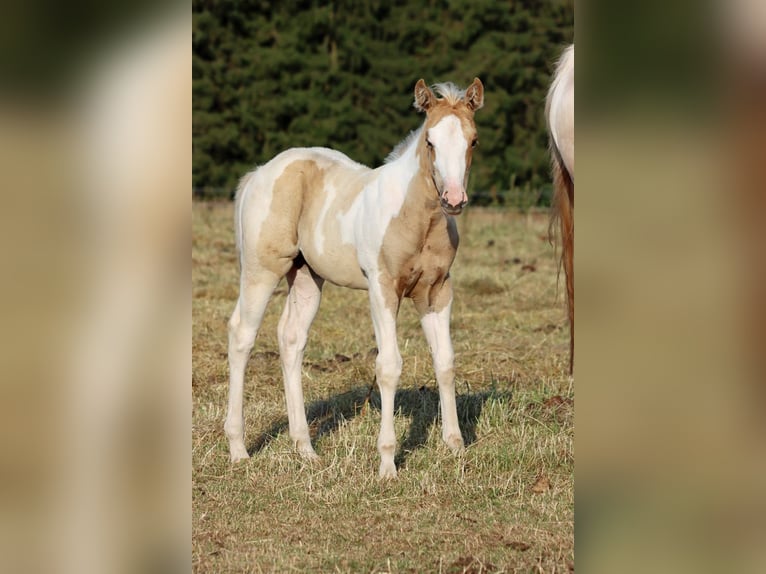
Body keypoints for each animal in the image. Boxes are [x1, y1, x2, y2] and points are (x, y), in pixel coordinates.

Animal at [225, 78, 484, 478]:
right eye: (430, 141)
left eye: (472, 141)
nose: (453, 199)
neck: (418, 219)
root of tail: (260, 172)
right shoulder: (382, 289)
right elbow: (389, 366)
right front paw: (388, 463)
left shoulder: (436, 291)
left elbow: (445, 361)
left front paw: (455, 448)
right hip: (261, 269)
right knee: (242, 335)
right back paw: (238, 449)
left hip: (306, 276)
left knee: (291, 339)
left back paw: (305, 449)